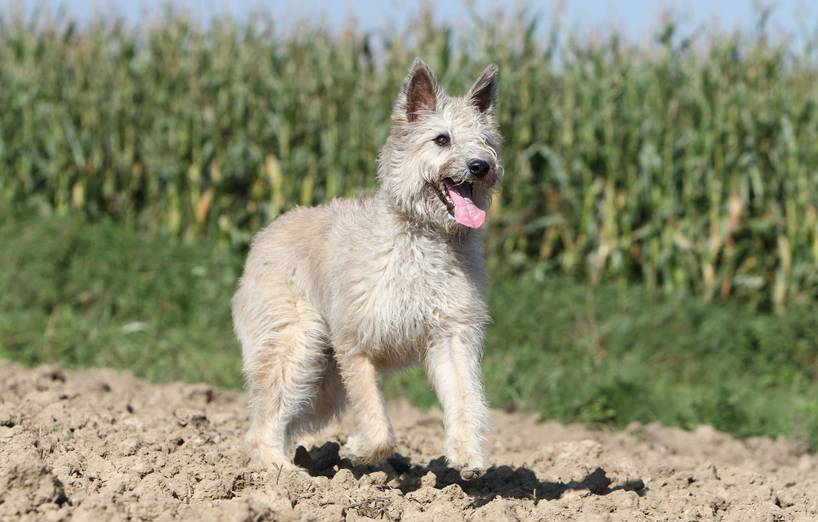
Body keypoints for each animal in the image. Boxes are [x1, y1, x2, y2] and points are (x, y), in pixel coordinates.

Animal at [228, 59, 498, 478]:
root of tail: (264, 235)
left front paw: (468, 455)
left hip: (322, 382)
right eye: (442, 139)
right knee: (262, 423)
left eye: (486, 140)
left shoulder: (452, 336)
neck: (423, 237)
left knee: (282, 419)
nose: (481, 166)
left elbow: (466, 397)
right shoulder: (355, 345)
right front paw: (360, 449)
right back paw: (284, 474)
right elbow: (377, 422)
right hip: (296, 347)